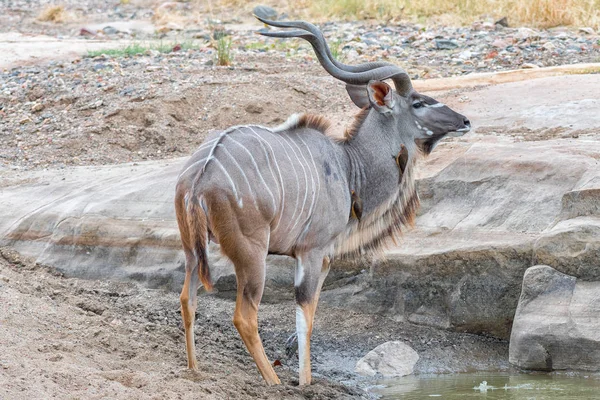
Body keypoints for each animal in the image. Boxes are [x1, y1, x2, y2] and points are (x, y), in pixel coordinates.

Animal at [173, 18, 468, 384]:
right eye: (419, 102)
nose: (465, 121)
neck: (348, 165)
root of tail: (199, 178)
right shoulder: (312, 252)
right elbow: (306, 318)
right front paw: (304, 383)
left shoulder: (318, 257)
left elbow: (307, 315)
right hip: (251, 254)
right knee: (244, 316)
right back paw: (272, 382)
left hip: (192, 249)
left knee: (187, 300)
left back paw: (194, 369)